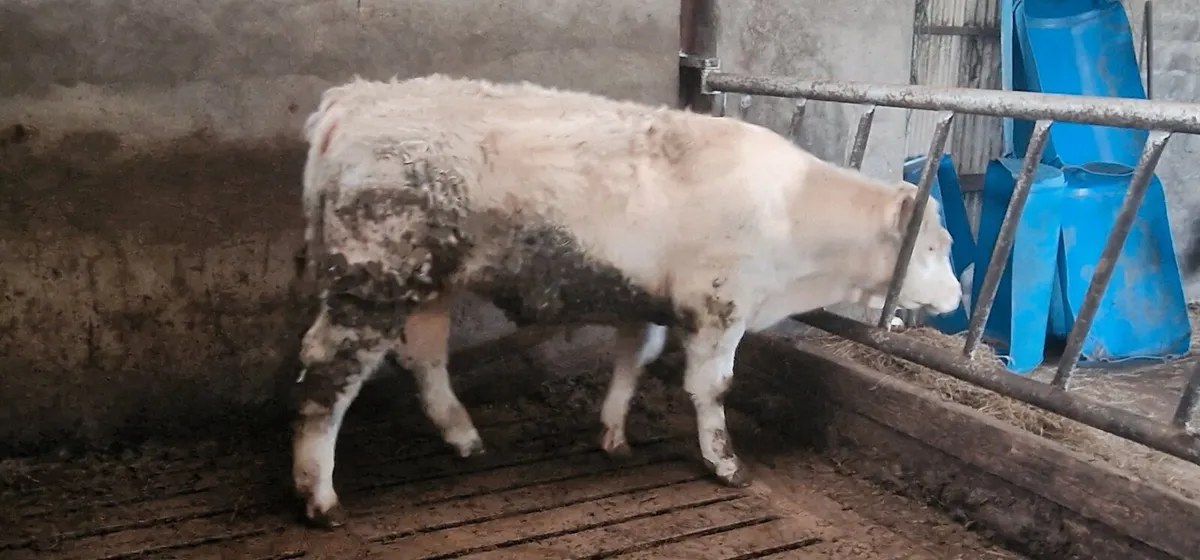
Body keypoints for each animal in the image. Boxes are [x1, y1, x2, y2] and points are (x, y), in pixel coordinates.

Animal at [292, 74, 963, 527]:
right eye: (934, 246)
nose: (958, 296)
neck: (794, 214)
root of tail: (355, 98)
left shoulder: (645, 302)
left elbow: (630, 363)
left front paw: (613, 435)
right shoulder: (719, 305)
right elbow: (712, 388)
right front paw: (725, 464)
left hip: (429, 283)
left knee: (425, 357)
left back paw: (463, 437)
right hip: (371, 281)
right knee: (328, 375)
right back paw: (320, 495)